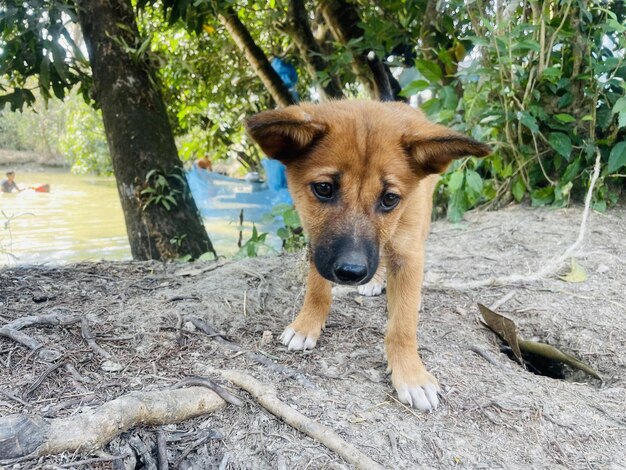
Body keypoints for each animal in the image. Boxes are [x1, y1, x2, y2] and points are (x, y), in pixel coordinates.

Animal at [244, 100, 488, 412]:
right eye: (324, 188)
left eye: (390, 199)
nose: (351, 273)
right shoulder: (318, 243)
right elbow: (317, 289)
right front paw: (307, 323)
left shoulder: (408, 253)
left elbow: (402, 324)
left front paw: (410, 374)